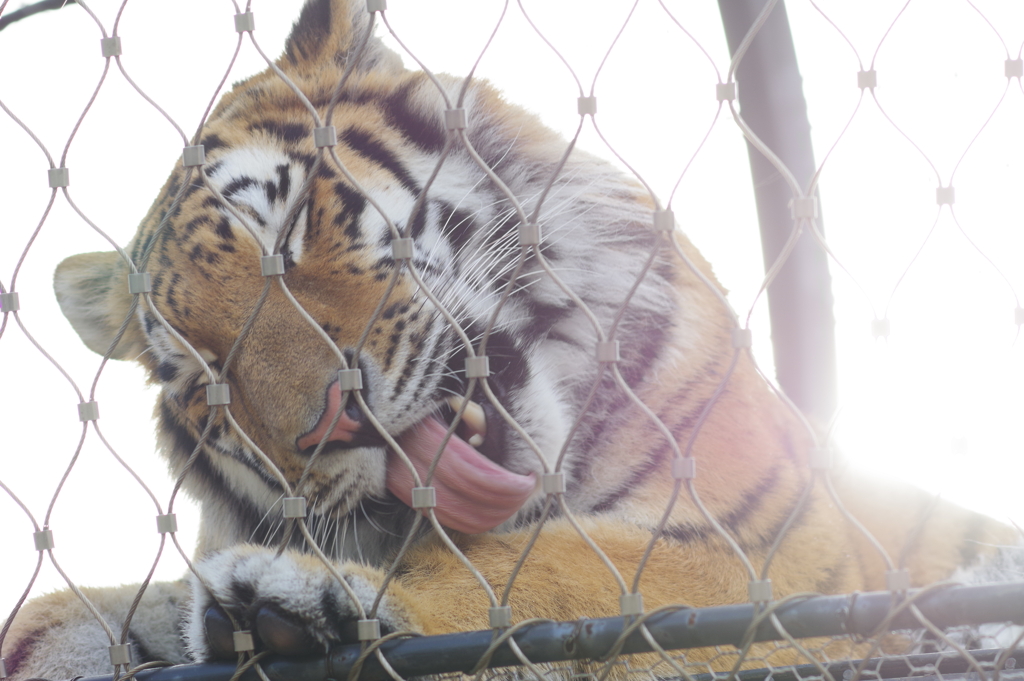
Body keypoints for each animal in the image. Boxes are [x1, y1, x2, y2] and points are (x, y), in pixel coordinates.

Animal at [4, 0, 1019, 675]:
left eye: (287, 230)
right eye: (205, 374)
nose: (325, 423)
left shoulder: (773, 553)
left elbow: (550, 574)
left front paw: (308, 599)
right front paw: (52, 636)